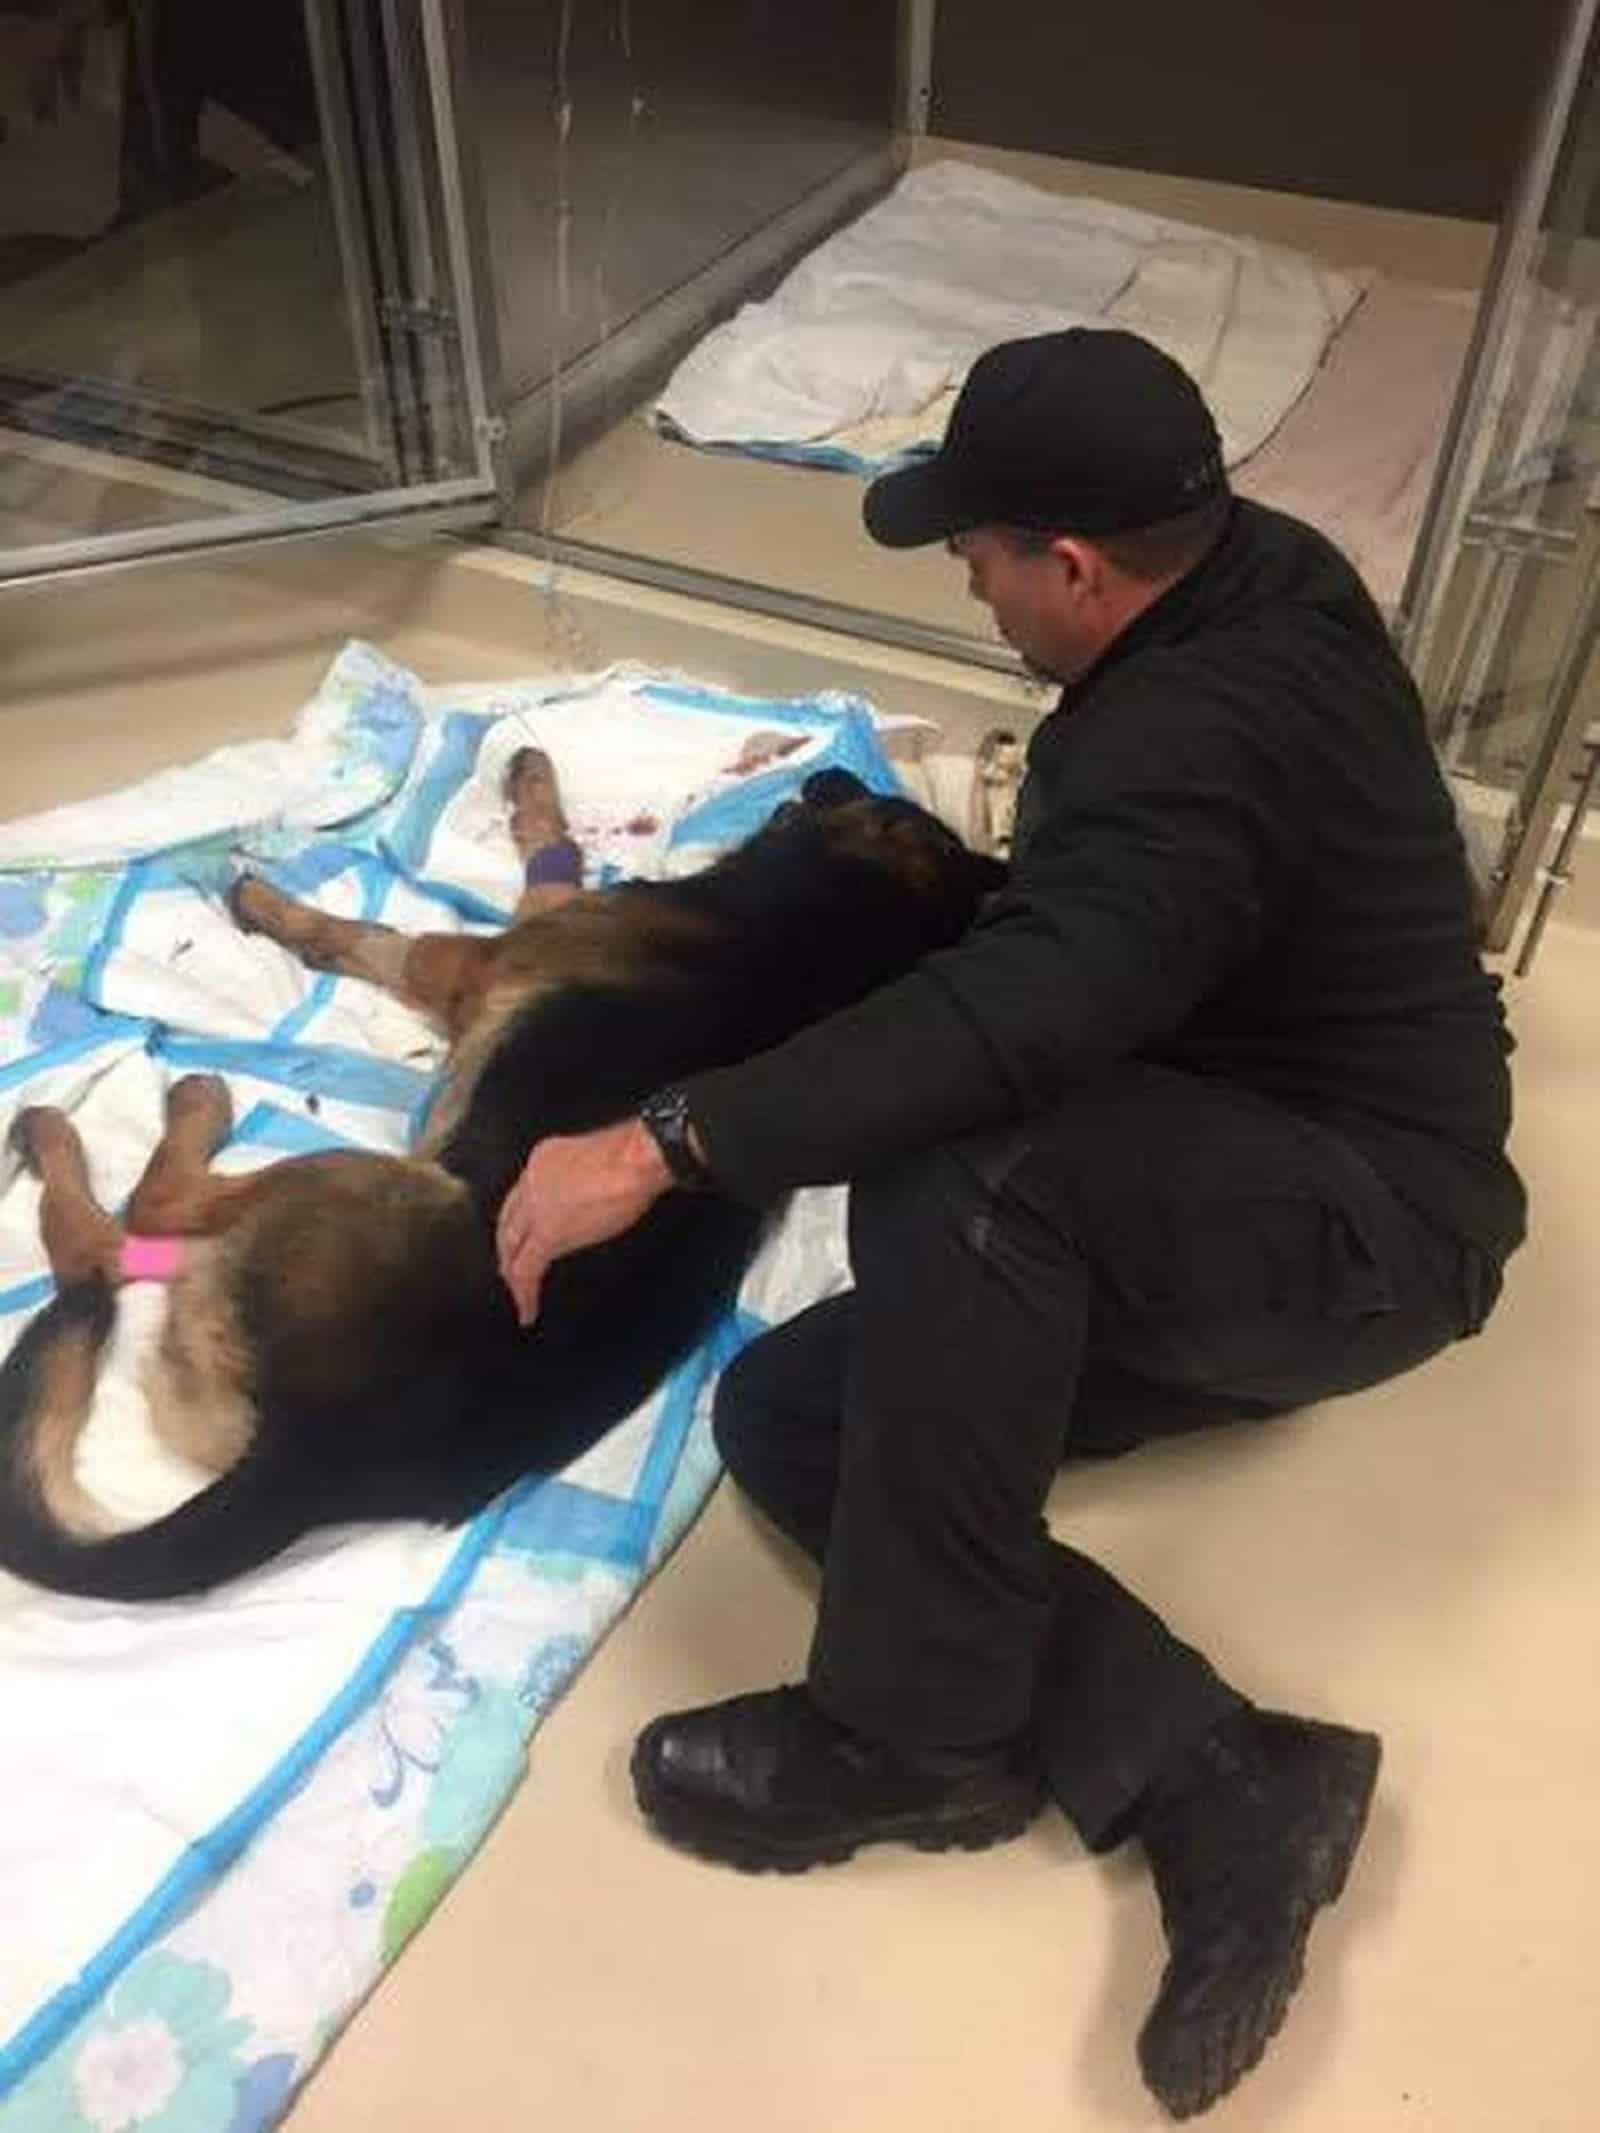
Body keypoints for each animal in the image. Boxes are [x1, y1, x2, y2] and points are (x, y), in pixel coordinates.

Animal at [0, 763, 1002, 1604]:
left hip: (367, 1181)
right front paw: (533, 775)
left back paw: (120, 1124)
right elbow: (551, 840)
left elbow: (374, 936)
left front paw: (275, 906)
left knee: (131, 1226)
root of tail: (320, 1451)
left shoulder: (475, 959)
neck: (838, 927)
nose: (828, 770)